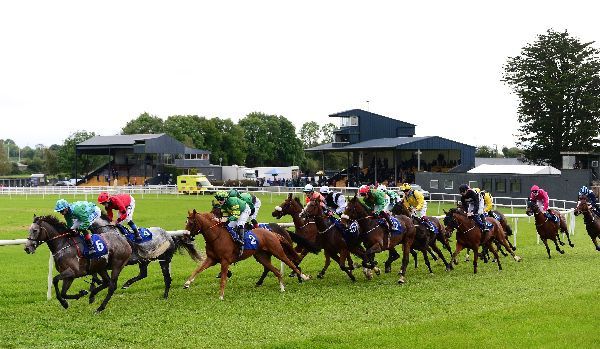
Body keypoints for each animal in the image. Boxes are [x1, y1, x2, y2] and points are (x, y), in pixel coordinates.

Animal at [182, 209, 310, 300]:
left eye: (192, 223)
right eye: (186, 222)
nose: (184, 236)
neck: (217, 236)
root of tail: (271, 232)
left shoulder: (225, 261)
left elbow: (223, 279)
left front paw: (221, 296)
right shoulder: (211, 259)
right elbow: (197, 270)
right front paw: (187, 284)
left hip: (278, 251)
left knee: (290, 263)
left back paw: (303, 277)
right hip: (261, 257)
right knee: (276, 270)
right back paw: (282, 288)